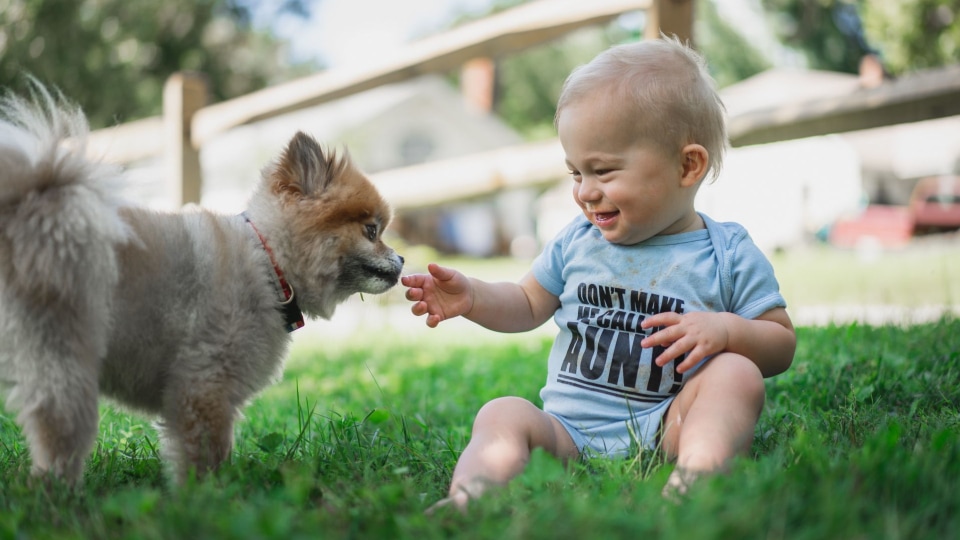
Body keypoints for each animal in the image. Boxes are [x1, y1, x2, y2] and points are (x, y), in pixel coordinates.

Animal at [0, 85, 404, 486]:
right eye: (371, 231)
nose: (401, 259)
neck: (269, 262)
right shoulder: (205, 384)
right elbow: (207, 451)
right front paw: (208, 494)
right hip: (65, 355)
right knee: (60, 428)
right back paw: (58, 488)